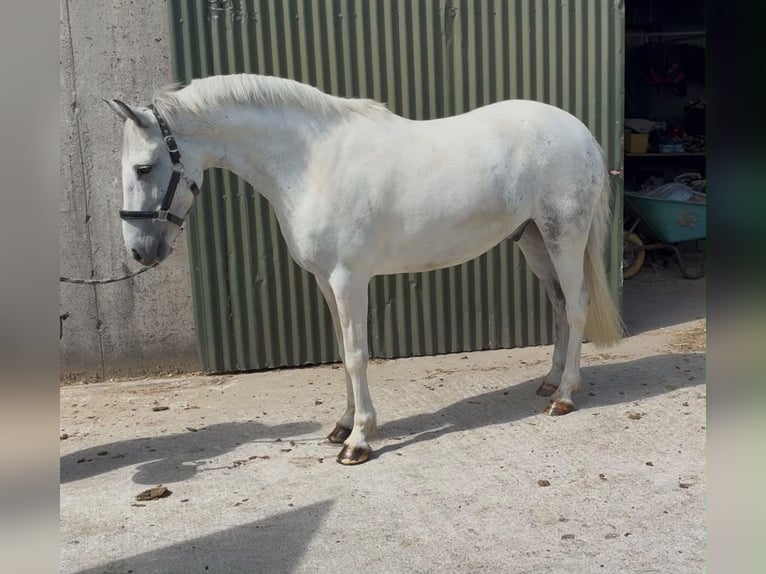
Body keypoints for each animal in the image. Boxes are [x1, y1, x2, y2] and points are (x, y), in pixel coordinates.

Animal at [107, 73, 623, 465]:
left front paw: (358, 440)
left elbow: (357, 354)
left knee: (576, 306)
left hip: (563, 237)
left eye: (143, 167)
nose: (140, 251)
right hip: (533, 240)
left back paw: (565, 396)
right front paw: (341, 426)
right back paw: (550, 381)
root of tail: (580, 132)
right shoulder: (324, 280)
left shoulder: (348, 279)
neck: (312, 164)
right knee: (558, 305)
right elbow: (341, 350)